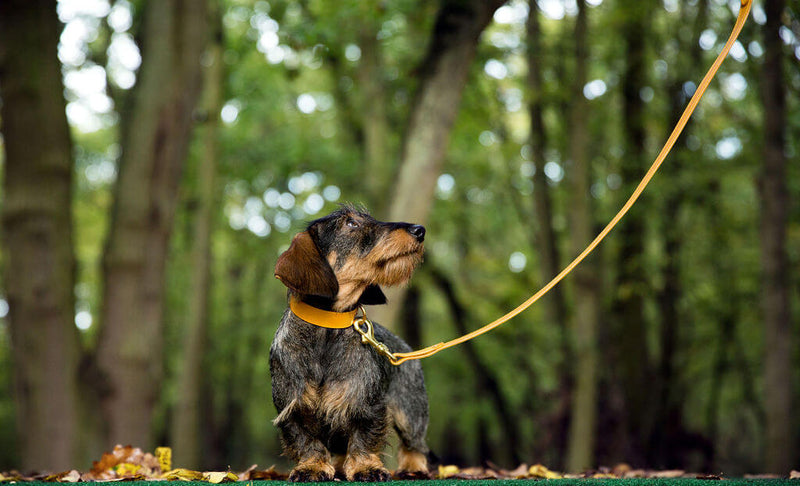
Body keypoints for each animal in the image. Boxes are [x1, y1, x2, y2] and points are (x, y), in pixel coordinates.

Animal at [268, 205, 432, 482]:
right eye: (351, 224)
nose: (419, 230)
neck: (327, 326)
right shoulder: (292, 407)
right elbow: (306, 441)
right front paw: (312, 466)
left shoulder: (366, 403)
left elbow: (363, 437)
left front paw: (366, 467)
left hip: (410, 411)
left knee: (414, 444)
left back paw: (413, 467)